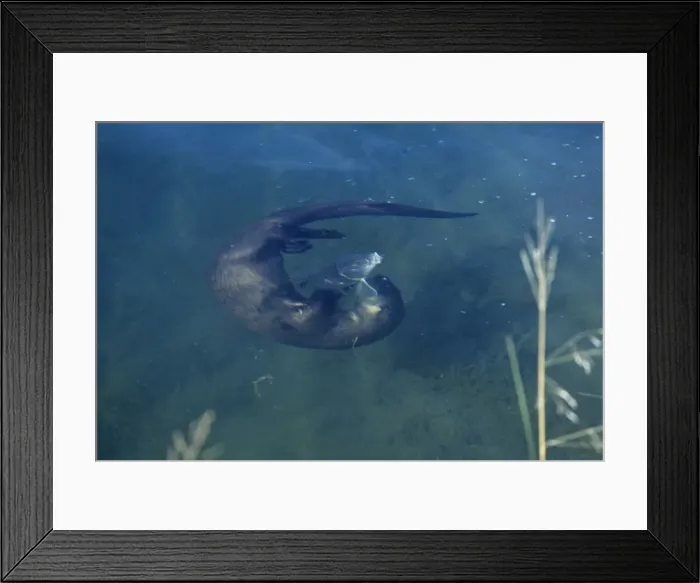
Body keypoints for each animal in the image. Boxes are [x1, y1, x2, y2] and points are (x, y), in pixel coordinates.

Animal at [212, 201, 477, 349]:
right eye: (387, 283)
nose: (382, 277)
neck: (331, 333)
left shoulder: (311, 323)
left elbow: (313, 304)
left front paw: (337, 287)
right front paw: (341, 285)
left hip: (267, 236)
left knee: (290, 232)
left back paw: (321, 237)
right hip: (263, 240)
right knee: (289, 234)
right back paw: (319, 238)